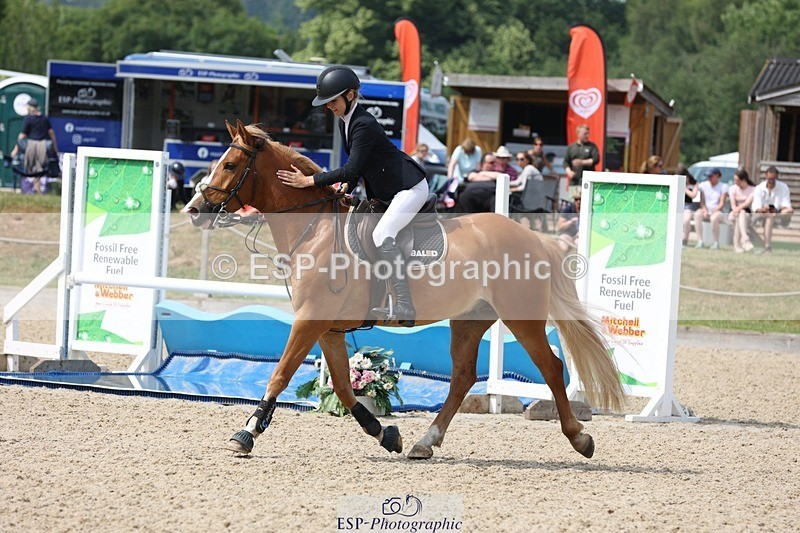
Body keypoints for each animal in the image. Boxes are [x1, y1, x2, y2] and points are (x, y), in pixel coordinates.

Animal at [184, 120, 624, 460]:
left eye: (231, 164)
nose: (193, 210)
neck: (315, 229)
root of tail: (534, 237)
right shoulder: (327, 328)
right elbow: (343, 387)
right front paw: (386, 434)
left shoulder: (308, 321)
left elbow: (278, 376)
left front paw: (246, 433)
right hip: (469, 319)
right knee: (463, 377)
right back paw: (424, 442)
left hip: (521, 317)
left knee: (550, 366)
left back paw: (579, 438)